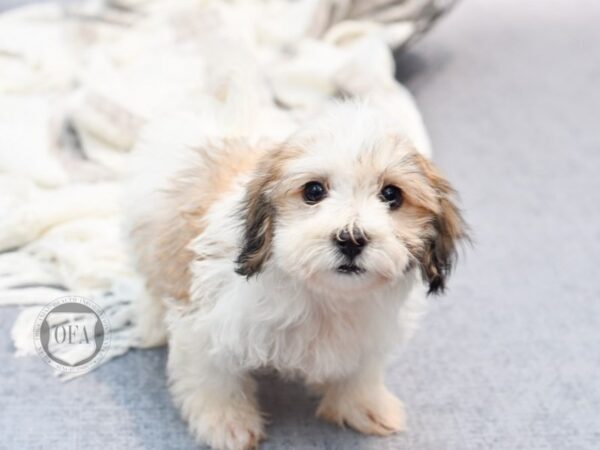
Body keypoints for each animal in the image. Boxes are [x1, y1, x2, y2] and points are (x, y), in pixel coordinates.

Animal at [124, 102, 466, 450]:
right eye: (313, 190)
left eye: (391, 195)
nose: (351, 239)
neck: (324, 296)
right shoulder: (207, 326)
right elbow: (214, 377)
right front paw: (226, 423)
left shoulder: (367, 335)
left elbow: (360, 371)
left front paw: (363, 404)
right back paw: (152, 324)